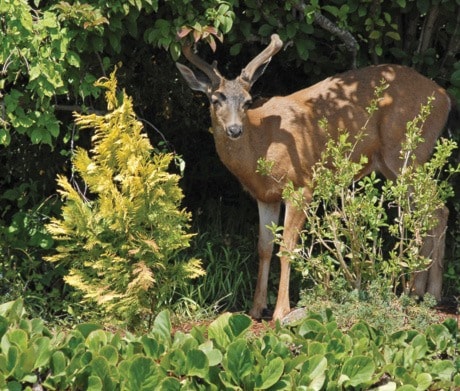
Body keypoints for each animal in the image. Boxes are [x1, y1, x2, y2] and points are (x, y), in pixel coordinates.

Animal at [176, 33, 456, 322]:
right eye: (215, 99)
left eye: (247, 101)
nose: (234, 129)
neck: (260, 144)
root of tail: (445, 98)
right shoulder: (265, 196)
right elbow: (264, 247)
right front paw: (256, 308)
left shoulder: (301, 187)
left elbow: (287, 246)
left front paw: (280, 312)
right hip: (395, 165)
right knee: (426, 211)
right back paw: (421, 291)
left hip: (408, 153)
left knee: (437, 208)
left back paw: (425, 292)